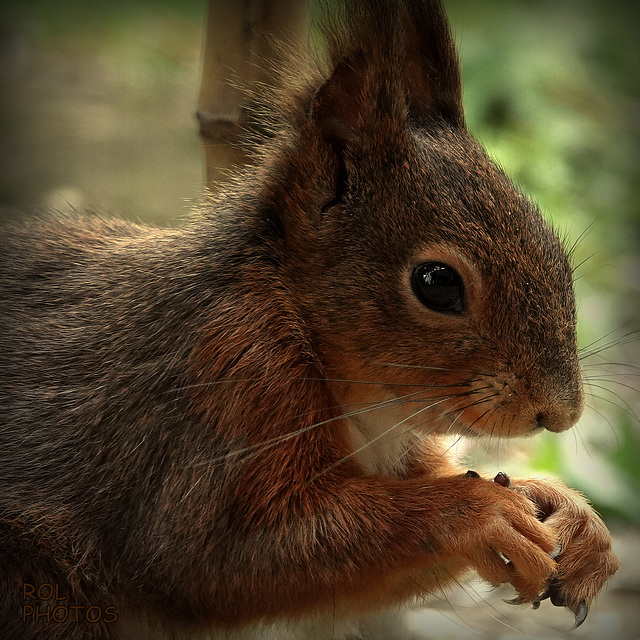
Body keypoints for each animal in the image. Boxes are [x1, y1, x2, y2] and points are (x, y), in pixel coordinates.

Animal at [0, 1, 620, 640]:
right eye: (437, 284)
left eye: (556, 248)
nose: (560, 412)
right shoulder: (218, 383)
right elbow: (220, 558)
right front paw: (483, 514)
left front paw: (569, 514)